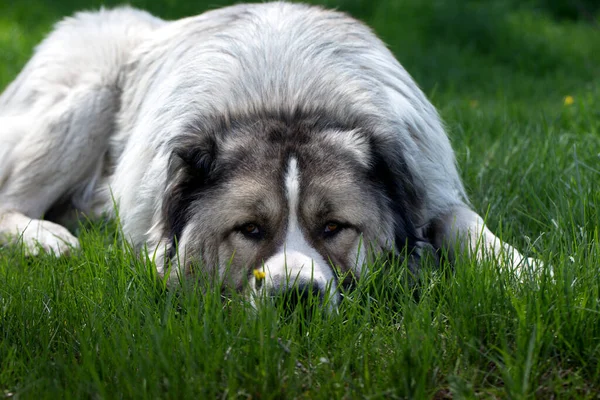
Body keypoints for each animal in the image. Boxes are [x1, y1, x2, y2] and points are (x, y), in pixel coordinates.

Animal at [0, 3, 540, 304]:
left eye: (334, 228)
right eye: (250, 230)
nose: (294, 297)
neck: (288, 101)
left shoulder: (432, 186)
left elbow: (465, 225)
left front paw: (526, 272)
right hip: (89, 94)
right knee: (10, 201)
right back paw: (46, 239)